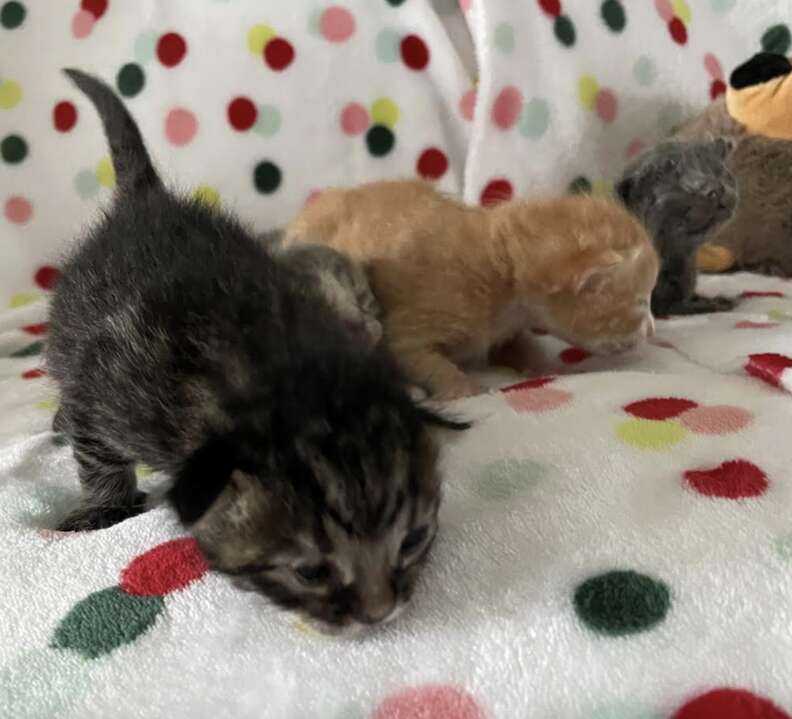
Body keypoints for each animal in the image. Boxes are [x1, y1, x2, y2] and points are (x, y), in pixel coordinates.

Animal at [46, 70, 468, 632]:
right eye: (310, 572)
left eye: (413, 540)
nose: (380, 614)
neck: (268, 365)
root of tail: (145, 201)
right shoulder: (107, 388)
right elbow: (97, 453)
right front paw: (105, 509)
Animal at [284, 180, 656, 400]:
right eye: (641, 303)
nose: (653, 330)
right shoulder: (405, 330)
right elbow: (425, 361)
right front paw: (465, 389)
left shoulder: (510, 328)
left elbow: (524, 345)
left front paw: (542, 366)